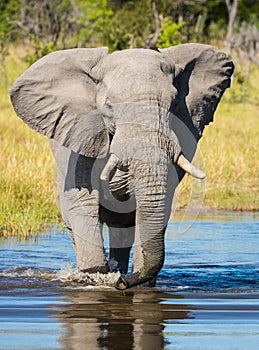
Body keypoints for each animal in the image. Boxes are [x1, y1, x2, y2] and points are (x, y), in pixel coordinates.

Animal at [9, 43, 235, 290]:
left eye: (174, 105)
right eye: (109, 107)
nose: (122, 284)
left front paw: (137, 282)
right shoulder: (79, 145)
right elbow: (82, 204)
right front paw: (96, 278)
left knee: (122, 229)